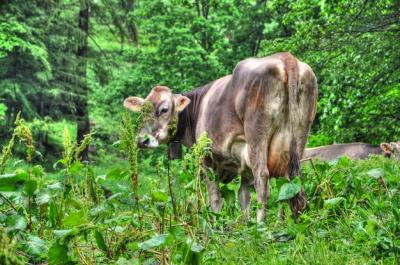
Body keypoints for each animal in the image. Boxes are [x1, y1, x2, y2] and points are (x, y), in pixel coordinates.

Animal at [123, 51, 318, 221]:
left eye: (164, 109)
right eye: (141, 112)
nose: (142, 140)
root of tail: (285, 57)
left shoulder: (207, 159)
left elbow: (215, 197)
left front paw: (217, 223)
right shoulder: (243, 164)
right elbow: (243, 197)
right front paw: (245, 226)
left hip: (257, 136)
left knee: (263, 179)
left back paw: (261, 225)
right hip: (297, 138)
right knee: (290, 183)